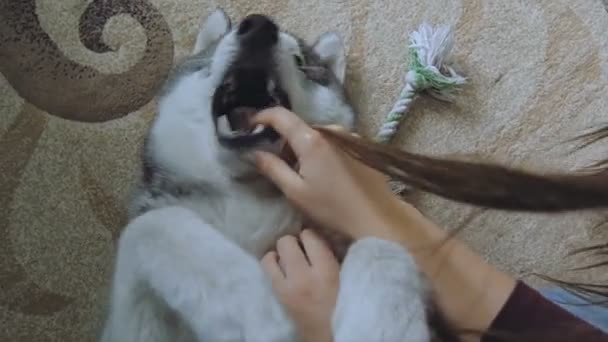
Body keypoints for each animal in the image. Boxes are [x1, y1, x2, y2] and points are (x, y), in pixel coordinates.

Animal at [100, 9, 430, 340]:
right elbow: (151, 225)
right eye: (220, 44)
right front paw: (253, 307)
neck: (246, 194)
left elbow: (382, 248)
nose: (259, 26)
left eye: (299, 59)